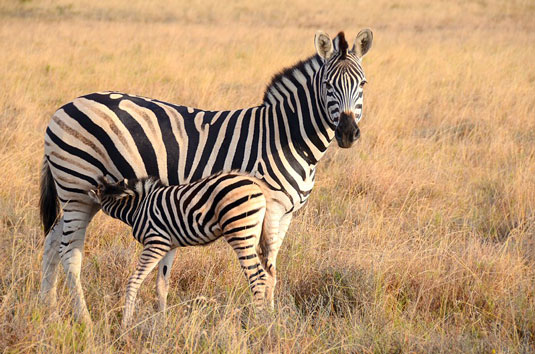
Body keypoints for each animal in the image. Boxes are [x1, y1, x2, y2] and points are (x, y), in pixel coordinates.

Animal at [87, 173, 278, 328]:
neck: (137, 208)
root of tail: (256, 183)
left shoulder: (156, 242)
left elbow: (134, 280)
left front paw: (126, 323)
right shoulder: (169, 246)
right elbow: (162, 284)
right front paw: (162, 323)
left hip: (240, 232)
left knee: (257, 277)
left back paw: (257, 322)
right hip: (257, 237)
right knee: (270, 275)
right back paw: (270, 318)